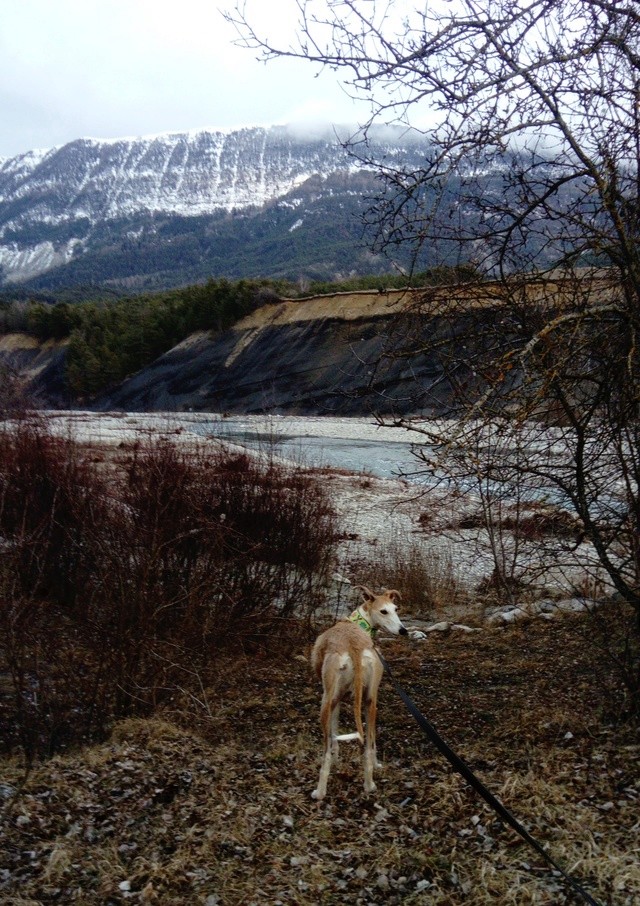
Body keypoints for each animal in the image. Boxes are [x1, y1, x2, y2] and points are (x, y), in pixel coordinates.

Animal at [308, 584, 408, 796]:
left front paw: (336, 760)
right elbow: (371, 741)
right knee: (368, 745)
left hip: (325, 702)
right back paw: (369, 784)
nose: (403, 630)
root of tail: (354, 646)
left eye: (396, 609)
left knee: (326, 750)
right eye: (384, 611)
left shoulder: (334, 700)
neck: (357, 625)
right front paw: (376, 765)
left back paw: (319, 792)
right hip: (370, 701)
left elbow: (334, 735)